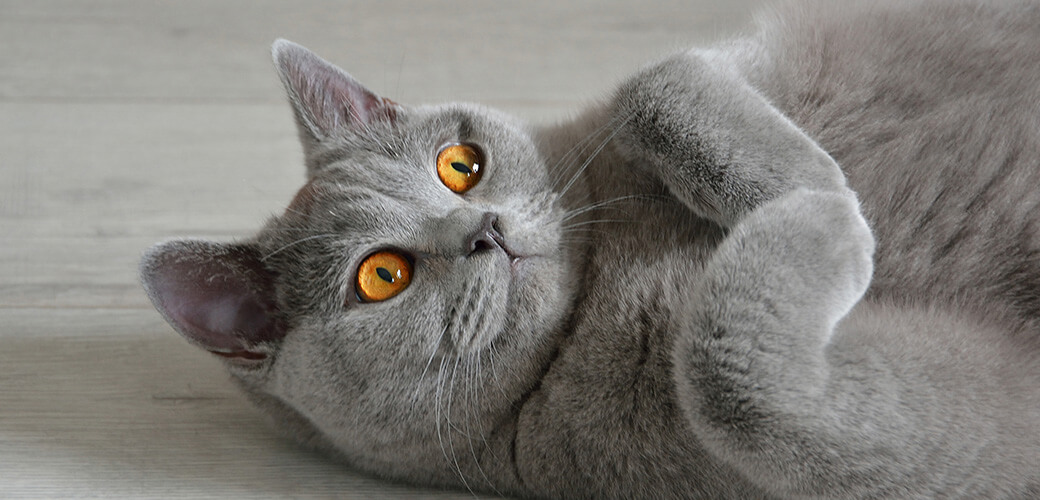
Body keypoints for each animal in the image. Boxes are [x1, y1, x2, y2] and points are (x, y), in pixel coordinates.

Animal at [140, 0, 1040, 494]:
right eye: (382, 276)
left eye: (460, 166)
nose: (485, 231)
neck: (598, 294)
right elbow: (736, 383)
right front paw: (832, 209)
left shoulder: (691, 74)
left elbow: (655, 82)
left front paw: (818, 180)